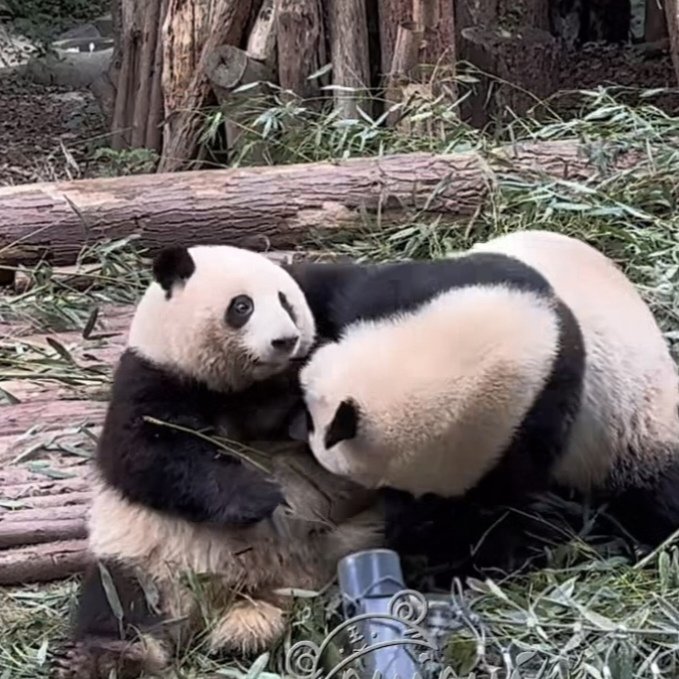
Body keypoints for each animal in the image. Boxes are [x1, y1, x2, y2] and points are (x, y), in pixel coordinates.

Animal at [53, 245, 383, 679]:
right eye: (242, 306)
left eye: (287, 302)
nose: (286, 340)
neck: (246, 386)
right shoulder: (153, 378)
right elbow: (149, 457)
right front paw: (258, 497)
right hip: (148, 561)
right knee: (119, 602)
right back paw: (111, 658)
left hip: (349, 539)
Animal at [290, 230, 679, 573]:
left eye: (311, 421)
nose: (296, 433)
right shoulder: (423, 288)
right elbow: (338, 287)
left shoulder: (538, 422)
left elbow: (486, 507)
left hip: (635, 429)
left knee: (654, 491)